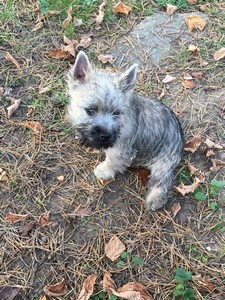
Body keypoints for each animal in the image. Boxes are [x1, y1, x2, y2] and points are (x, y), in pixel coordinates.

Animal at [67, 51, 185, 211]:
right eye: (90, 110)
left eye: (116, 113)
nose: (106, 135)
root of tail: (181, 139)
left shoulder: (120, 149)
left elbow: (112, 160)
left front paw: (104, 170)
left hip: (163, 164)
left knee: (162, 183)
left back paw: (155, 200)